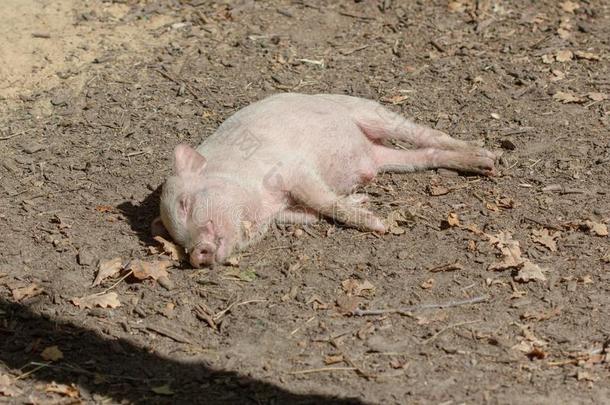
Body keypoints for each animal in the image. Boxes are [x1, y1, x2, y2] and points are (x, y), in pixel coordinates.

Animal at [152, 93, 494, 266]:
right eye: (178, 240)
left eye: (185, 204)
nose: (196, 254)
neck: (262, 205)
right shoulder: (283, 211)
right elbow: (314, 213)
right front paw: (362, 201)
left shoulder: (293, 169)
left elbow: (325, 201)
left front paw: (381, 226)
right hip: (387, 158)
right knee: (425, 156)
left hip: (371, 112)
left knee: (429, 134)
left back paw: (489, 157)